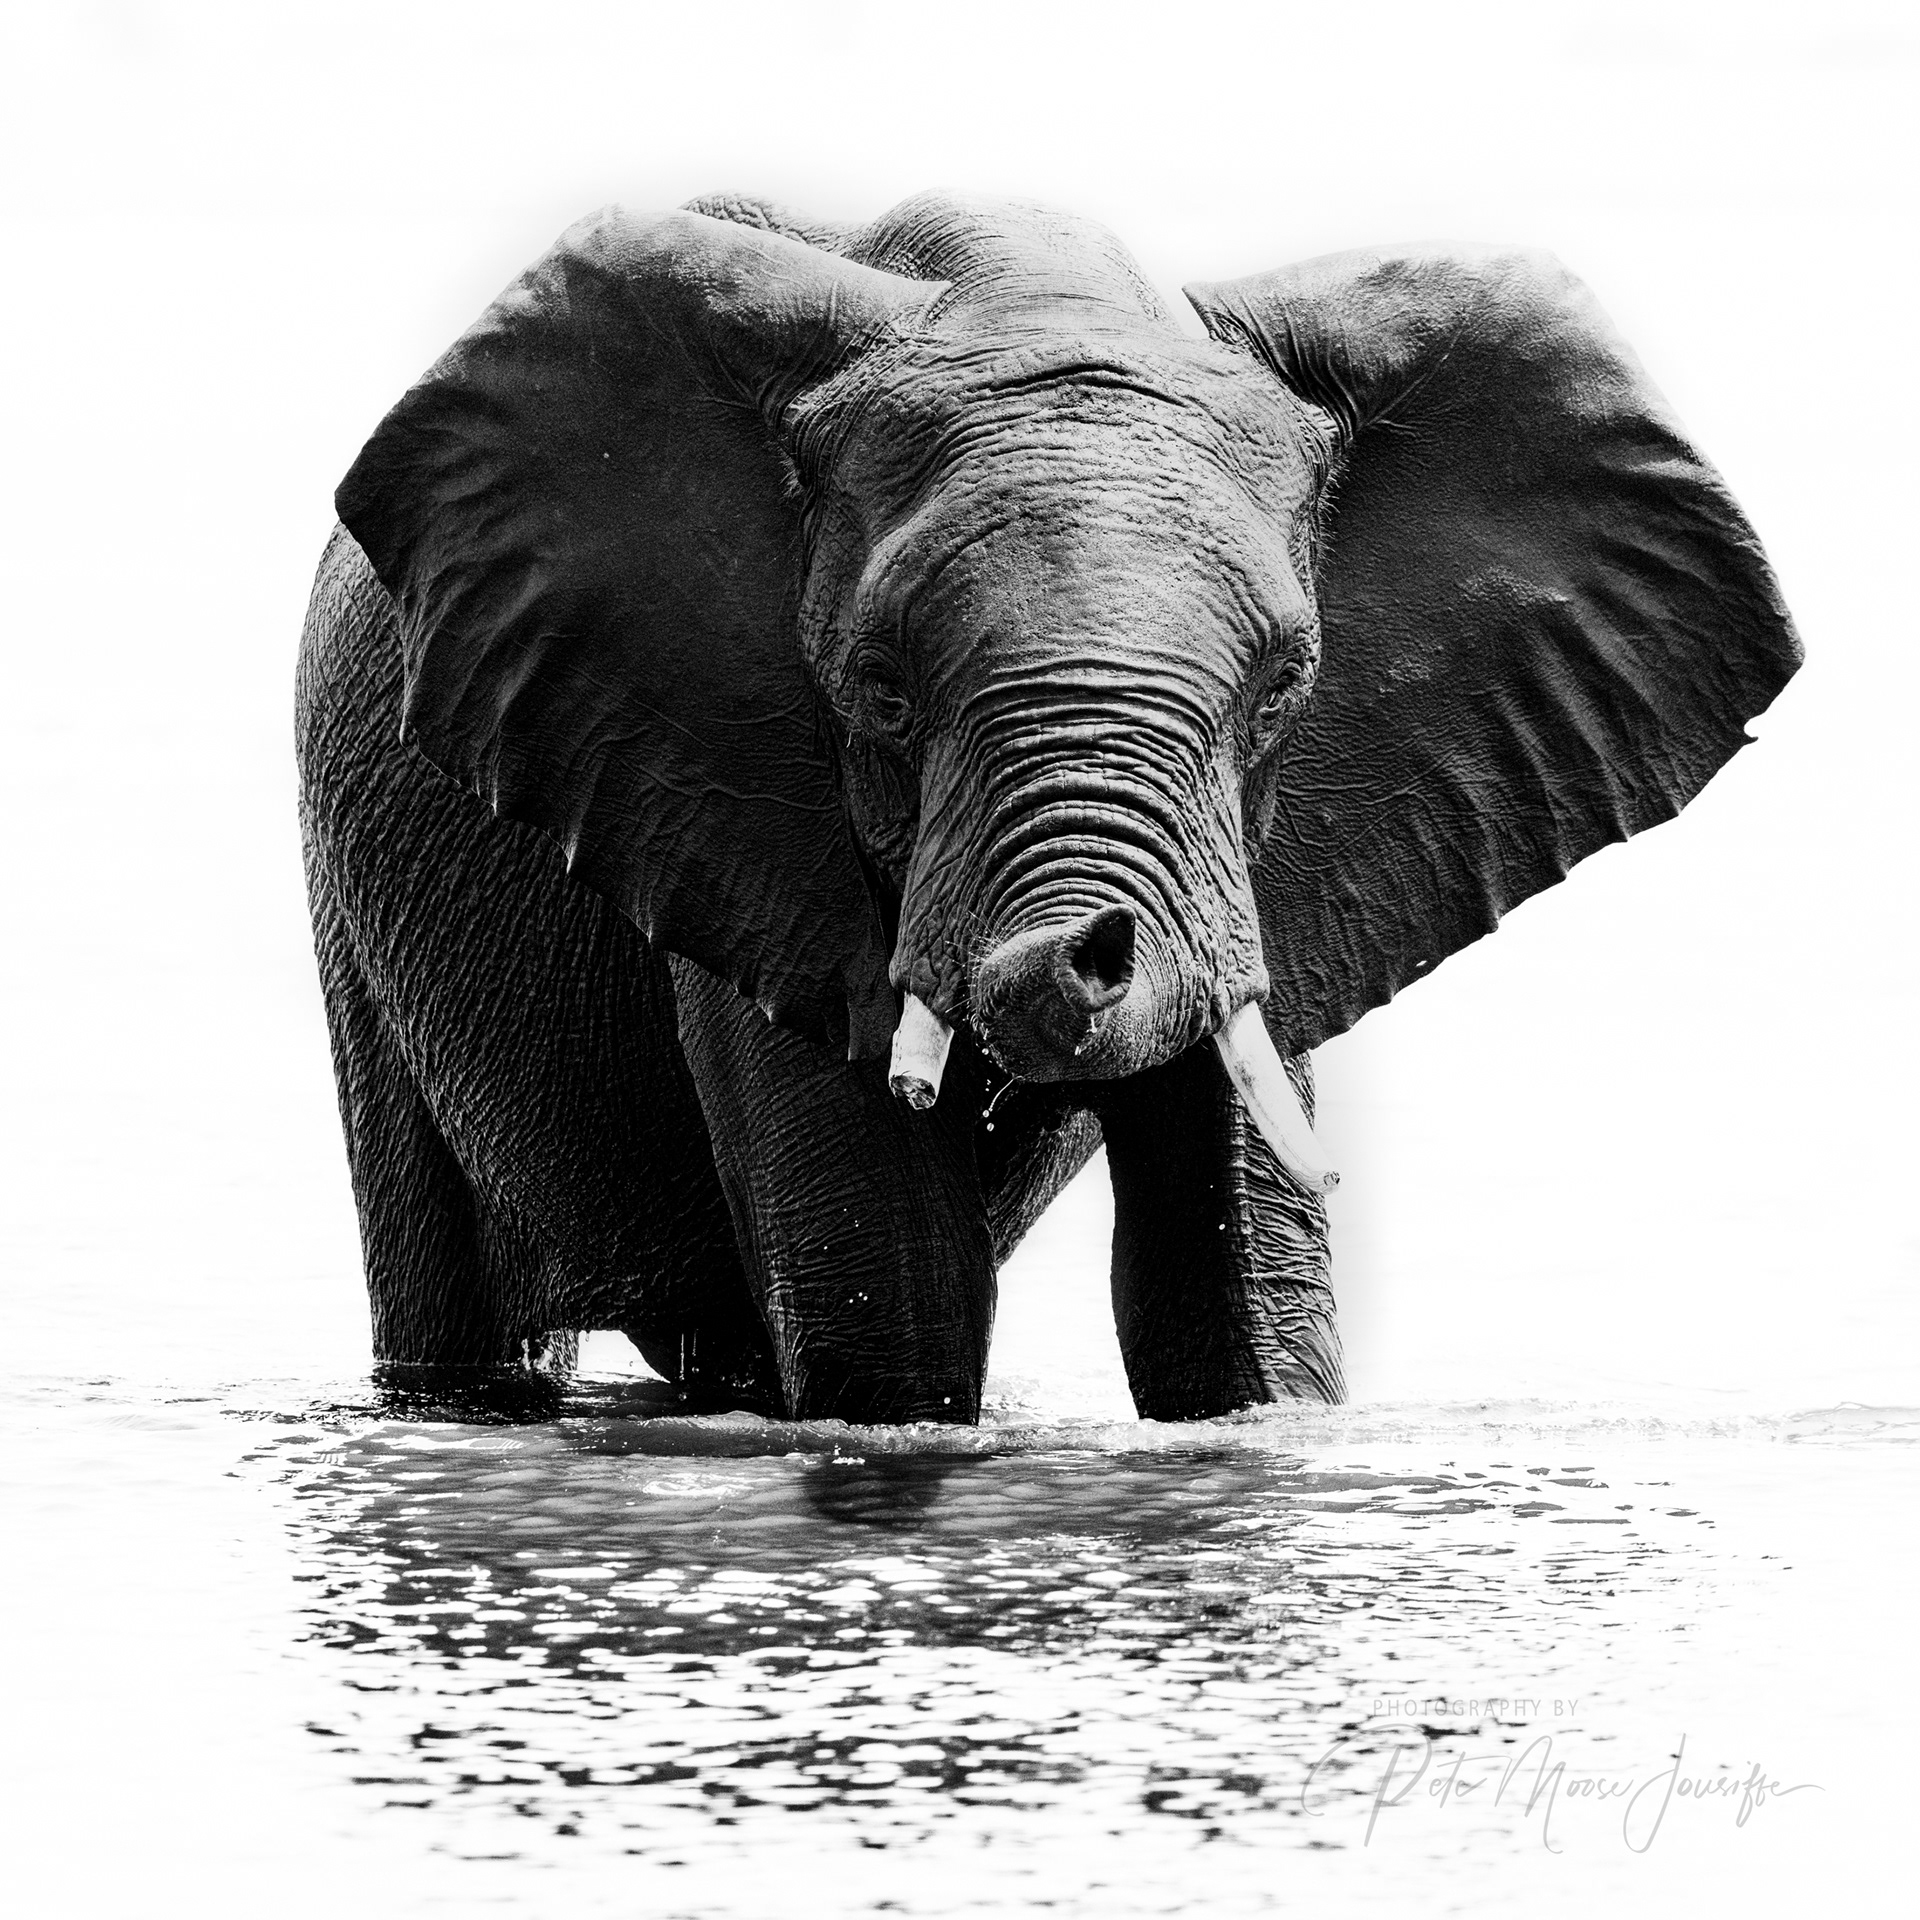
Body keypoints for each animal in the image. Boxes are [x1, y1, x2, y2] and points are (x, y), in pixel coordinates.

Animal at [297, 191, 1800, 1425]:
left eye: (1283, 689)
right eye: (880, 692)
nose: (1092, 949)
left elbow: (1237, 1286)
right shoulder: (731, 792)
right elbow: (888, 1289)